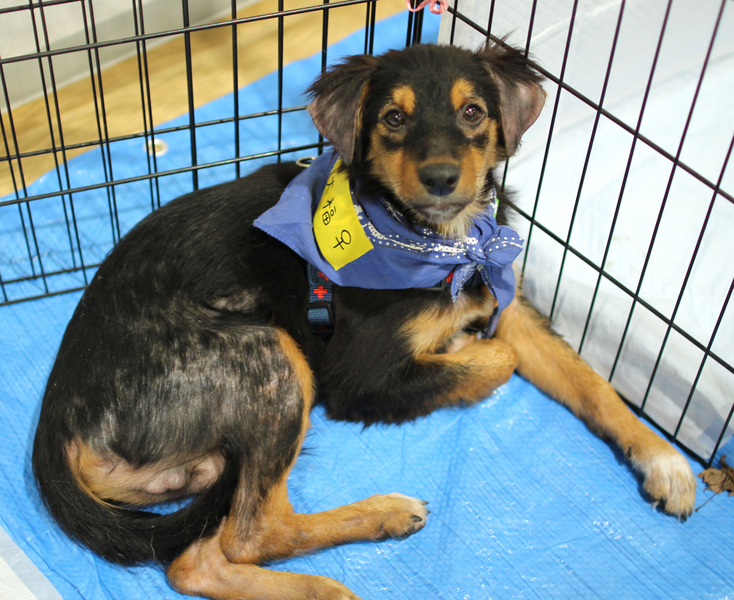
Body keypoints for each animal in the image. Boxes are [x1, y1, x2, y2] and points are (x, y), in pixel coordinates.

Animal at [33, 42, 696, 600]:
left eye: (474, 112)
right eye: (394, 119)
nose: (440, 178)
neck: (441, 241)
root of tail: (57, 417)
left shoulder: (507, 304)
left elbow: (590, 382)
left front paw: (664, 461)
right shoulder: (355, 380)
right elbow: (495, 360)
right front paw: (456, 349)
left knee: (192, 559)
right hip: (270, 359)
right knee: (248, 534)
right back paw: (365, 536)